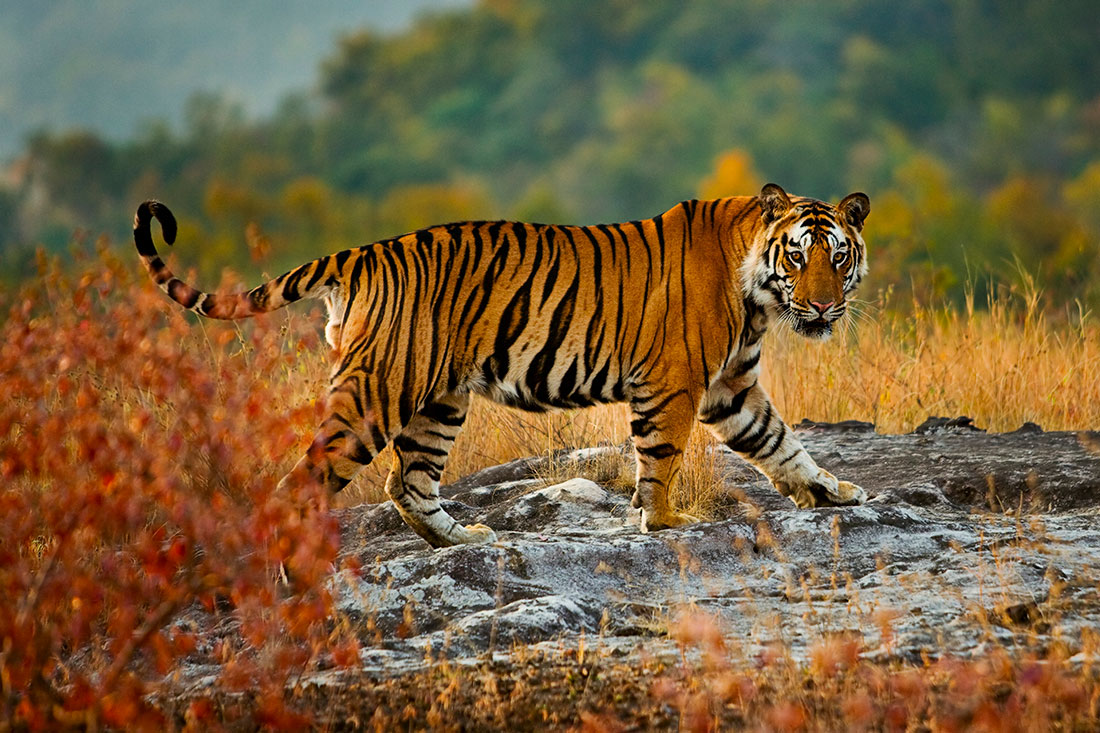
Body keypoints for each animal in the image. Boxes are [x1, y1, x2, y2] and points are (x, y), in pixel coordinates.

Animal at [133, 183, 870, 548]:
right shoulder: (675, 383)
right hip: (378, 391)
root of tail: (362, 253)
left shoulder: (730, 387)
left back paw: (462, 538)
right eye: (798, 255)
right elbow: (661, 460)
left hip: (437, 400)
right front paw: (663, 524)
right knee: (304, 482)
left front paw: (833, 492)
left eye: (839, 257)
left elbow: (781, 442)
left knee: (408, 482)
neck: (759, 295)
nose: (823, 307)